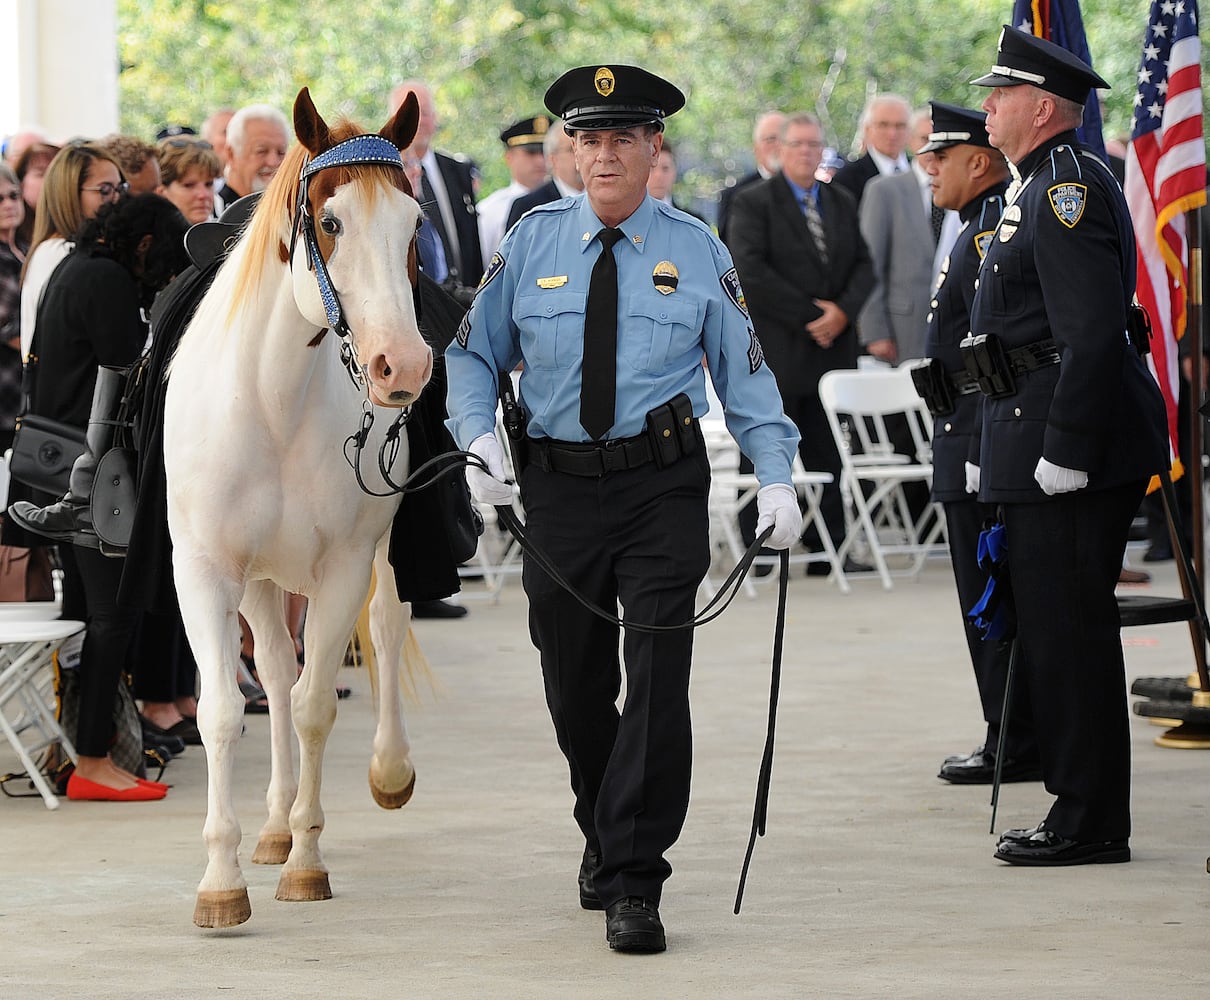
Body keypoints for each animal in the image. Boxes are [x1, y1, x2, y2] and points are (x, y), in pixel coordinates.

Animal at [163, 91, 433, 929]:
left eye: (414, 225)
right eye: (331, 221)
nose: (402, 366)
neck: (275, 399)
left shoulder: (345, 563)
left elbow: (316, 703)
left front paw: (308, 865)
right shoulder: (208, 571)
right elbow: (225, 709)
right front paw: (222, 882)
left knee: (383, 625)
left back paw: (388, 770)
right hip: (259, 577)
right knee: (276, 671)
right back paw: (275, 823)